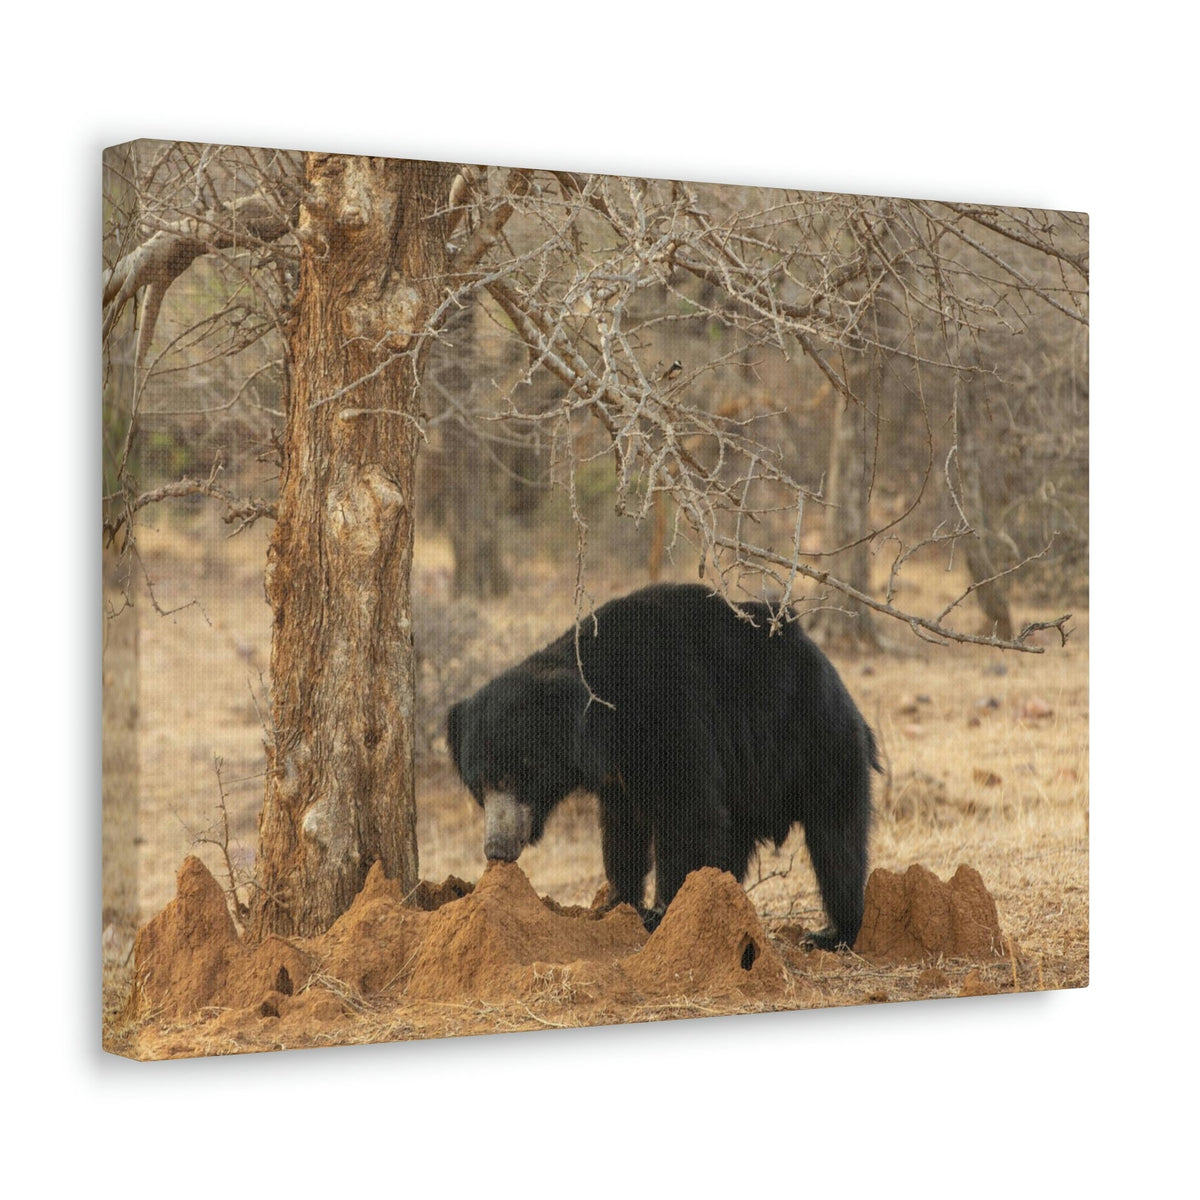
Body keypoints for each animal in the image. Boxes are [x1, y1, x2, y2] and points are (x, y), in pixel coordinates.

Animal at [446, 583, 879, 949]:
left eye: (516, 775)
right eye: (479, 786)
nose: (497, 848)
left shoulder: (670, 714)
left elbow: (688, 811)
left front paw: (664, 914)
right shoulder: (617, 773)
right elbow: (622, 829)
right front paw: (616, 904)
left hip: (816, 745)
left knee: (836, 839)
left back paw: (832, 934)